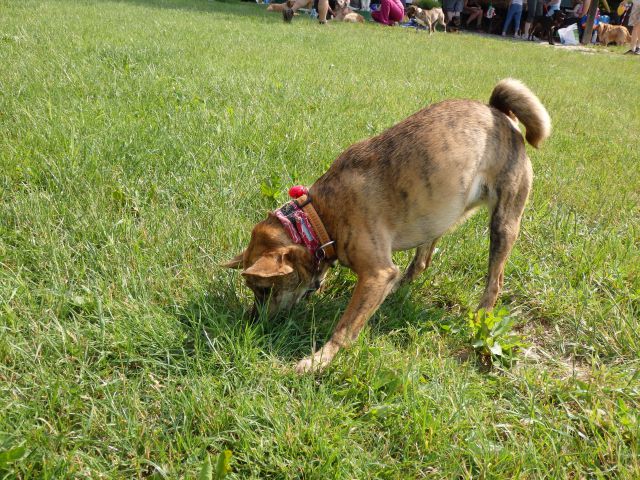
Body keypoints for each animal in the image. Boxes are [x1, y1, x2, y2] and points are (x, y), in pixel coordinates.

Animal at [225, 80, 552, 376]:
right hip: (434, 218)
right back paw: (399, 289)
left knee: (494, 281)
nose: (252, 321)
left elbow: (345, 328)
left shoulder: (376, 273)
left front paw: (319, 360)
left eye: (264, 290)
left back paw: (482, 318)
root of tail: (499, 113)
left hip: (504, 223)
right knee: (421, 262)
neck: (318, 218)